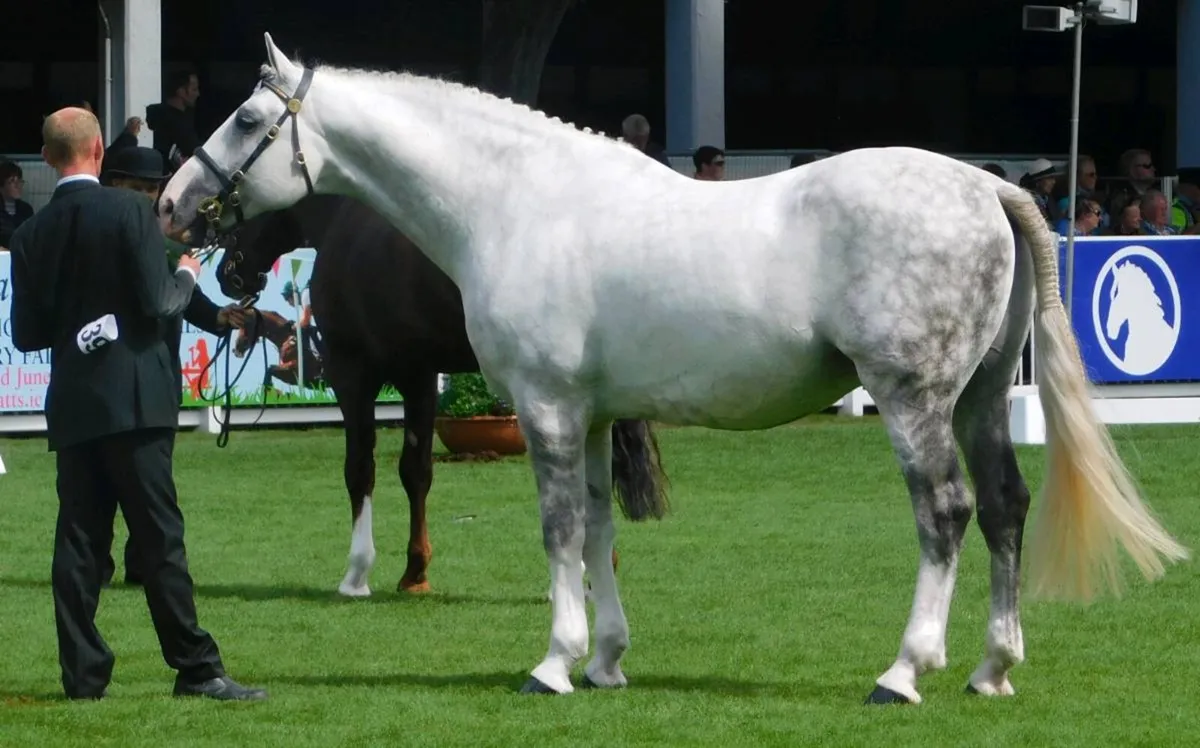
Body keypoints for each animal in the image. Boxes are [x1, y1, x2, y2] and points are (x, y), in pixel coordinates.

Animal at [213, 193, 659, 596]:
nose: (225, 273)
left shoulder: (351, 371)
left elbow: (359, 468)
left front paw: (357, 574)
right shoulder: (418, 374)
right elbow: (416, 471)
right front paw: (415, 573)